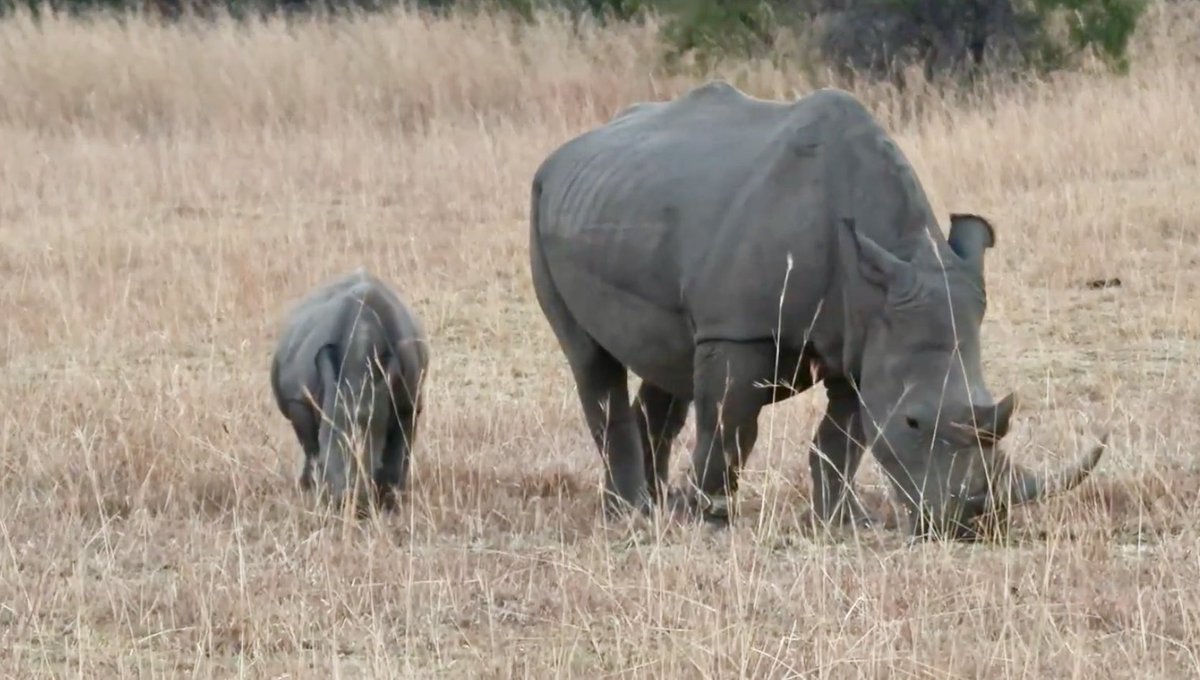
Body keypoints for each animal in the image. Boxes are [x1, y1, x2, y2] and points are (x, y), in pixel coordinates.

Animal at [269, 268, 429, 512]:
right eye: (324, 462)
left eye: (376, 465)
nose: (349, 501)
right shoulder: (299, 398)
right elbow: (310, 446)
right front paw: (314, 493)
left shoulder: (408, 402)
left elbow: (398, 455)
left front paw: (391, 504)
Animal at [528, 81, 1107, 540]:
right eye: (914, 422)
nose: (972, 524)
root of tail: (563, 153)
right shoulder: (740, 332)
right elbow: (730, 425)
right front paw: (710, 519)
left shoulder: (866, 338)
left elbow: (843, 438)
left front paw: (846, 521)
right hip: (539, 205)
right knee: (591, 362)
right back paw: (629, 512)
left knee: (666, 368)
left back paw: (655, 505)